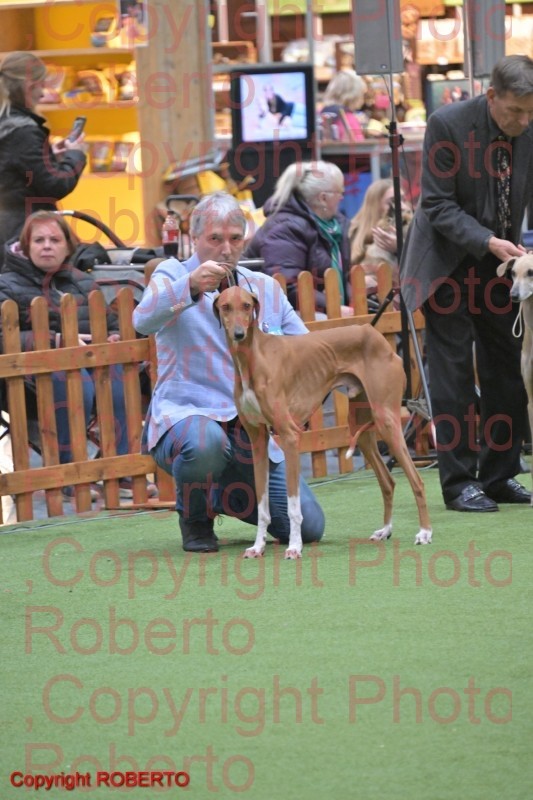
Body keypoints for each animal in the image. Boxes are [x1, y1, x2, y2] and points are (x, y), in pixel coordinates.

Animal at [213, 285, 432, 559]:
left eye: (246, 305)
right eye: (225, 307)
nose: (239, 334)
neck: (253, 357)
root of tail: (374, 334)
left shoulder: (290, 436)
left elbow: (293, 506)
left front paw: (294, 547)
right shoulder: (258, 440)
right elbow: (263, 505)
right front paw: (258, 546)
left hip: (388, 422)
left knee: (417, 481)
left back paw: (424, 533)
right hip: (361, 431)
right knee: (388, 482)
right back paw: (385, 530)